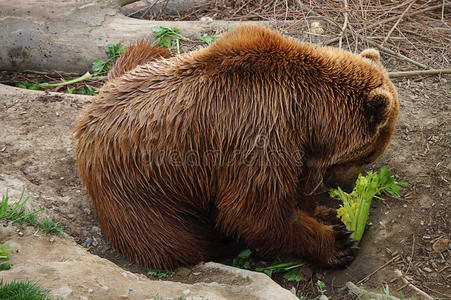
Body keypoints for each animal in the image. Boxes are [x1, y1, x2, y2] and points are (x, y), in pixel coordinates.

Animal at [74, 24, 400, 268]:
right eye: (368, 154)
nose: (348, 184)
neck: (306, 112)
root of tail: (83, 128)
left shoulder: (291, 141)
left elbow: (293, 188)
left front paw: (327, 214)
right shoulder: (259, 130)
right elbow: (251, 213)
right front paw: (337, 243)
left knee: (145, 50)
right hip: (143, 192)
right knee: (173, 242)